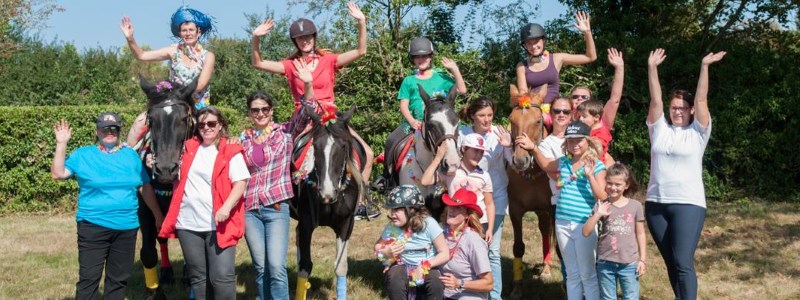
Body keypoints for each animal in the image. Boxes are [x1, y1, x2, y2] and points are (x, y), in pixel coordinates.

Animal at [292, 104, 368, 298]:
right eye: (315, 146)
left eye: (343, 146)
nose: (327, 193)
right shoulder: (306, 223)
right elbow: (305, 266)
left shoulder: (346, 225)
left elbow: (341, 267)